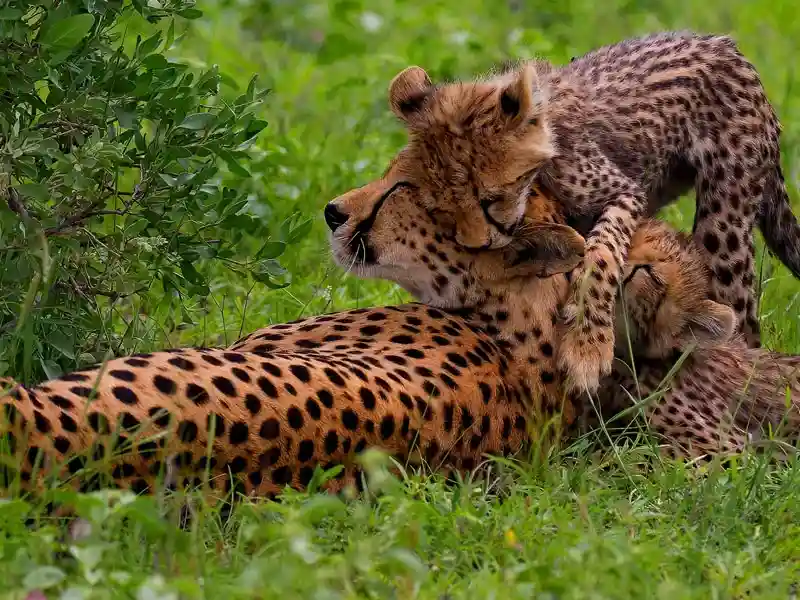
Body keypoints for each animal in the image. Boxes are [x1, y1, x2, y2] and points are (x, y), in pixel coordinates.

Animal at [371, 30, 800, 397]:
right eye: (441, 210)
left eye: (488, 199)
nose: (481, 243)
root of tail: (727, 46)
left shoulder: (625, 194)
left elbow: (601, 256)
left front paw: (586, 348)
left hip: (725, 221)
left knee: (742, 316)